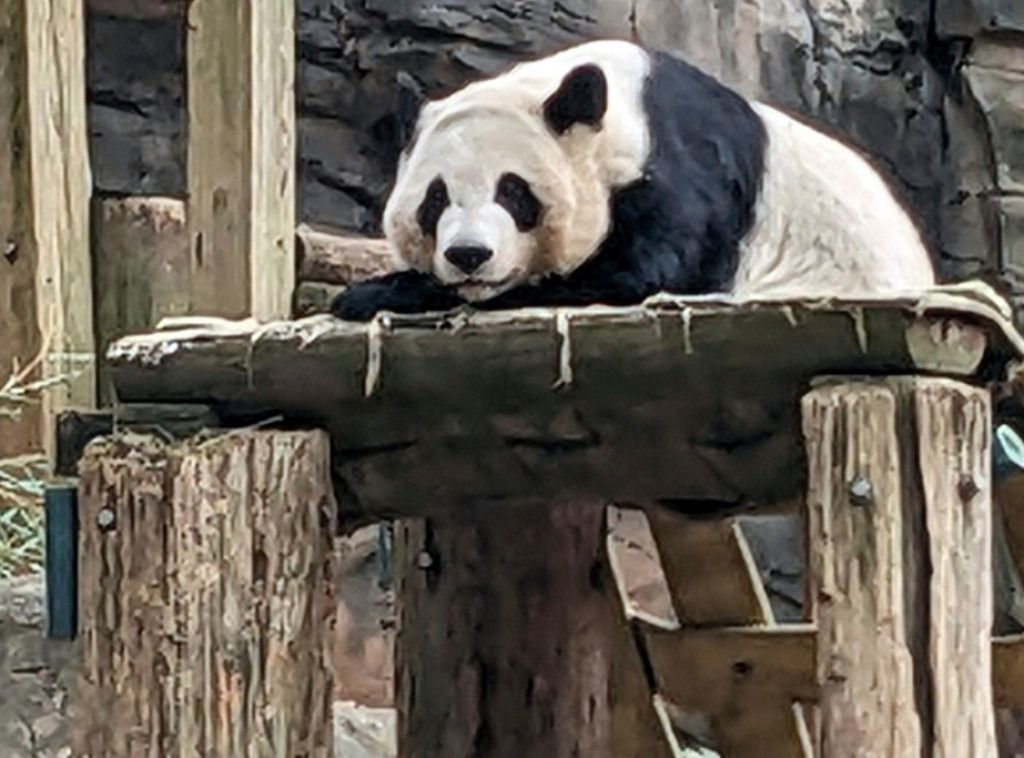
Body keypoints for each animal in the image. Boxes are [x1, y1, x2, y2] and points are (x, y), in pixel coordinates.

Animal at [330, 40, 935, 321]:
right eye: (435, 199)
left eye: (514, 192)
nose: (469, 255)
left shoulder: (683, 176)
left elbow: (633, 276)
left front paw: (374, 292)